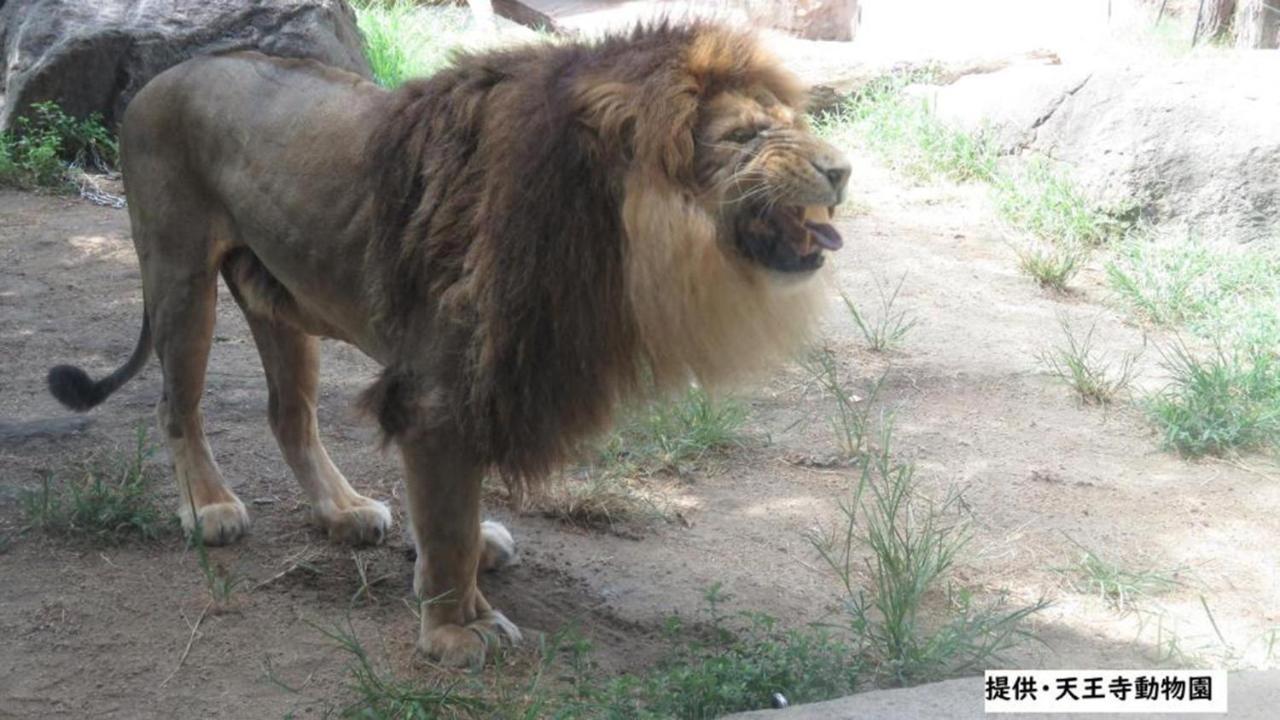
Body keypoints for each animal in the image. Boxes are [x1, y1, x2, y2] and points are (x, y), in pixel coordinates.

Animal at [47, 20, 849, 661]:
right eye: (746, 136)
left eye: (791, 120)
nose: (841, 169)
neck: (615, 230)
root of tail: (161, 78)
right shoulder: (439, 390)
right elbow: (449, 516)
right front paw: (458, 628)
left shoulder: (482, 376)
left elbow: (452, 508)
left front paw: (448, 570)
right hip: (181, 276)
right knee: (175, 407)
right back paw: (210, 508)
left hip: (278, 299)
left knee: (289, 415)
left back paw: (344, 511)